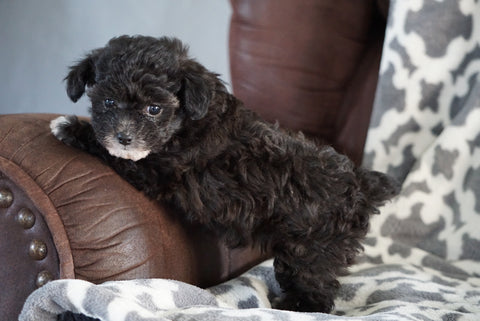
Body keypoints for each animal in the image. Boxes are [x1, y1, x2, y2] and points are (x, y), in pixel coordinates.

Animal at [50, 35, 400, 312]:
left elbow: (117, 155)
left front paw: (69, 127)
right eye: (108, 102)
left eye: (154, 109)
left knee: (316, 288)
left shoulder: (157, 167)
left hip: (311, 250)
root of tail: (363, 183)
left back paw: (296, 306)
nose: (123, 137)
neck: (187, 120)